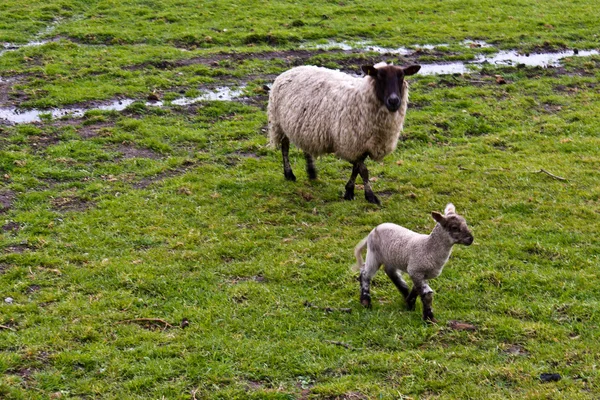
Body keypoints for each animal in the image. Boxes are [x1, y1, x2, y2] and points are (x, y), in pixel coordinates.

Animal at [270, 63, 420, 206]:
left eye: (402, 76)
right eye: (379, 76)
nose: (394, 101)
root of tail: (290, 70)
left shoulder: (362, 144)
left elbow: (356, 169)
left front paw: (349, 191)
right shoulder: (351, 143)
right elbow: (363, 170)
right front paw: (370, 196)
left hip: (305, 127)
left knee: (306, 147)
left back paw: (311, 172)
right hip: (279, 123)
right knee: (285, 148)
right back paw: (289, 174)